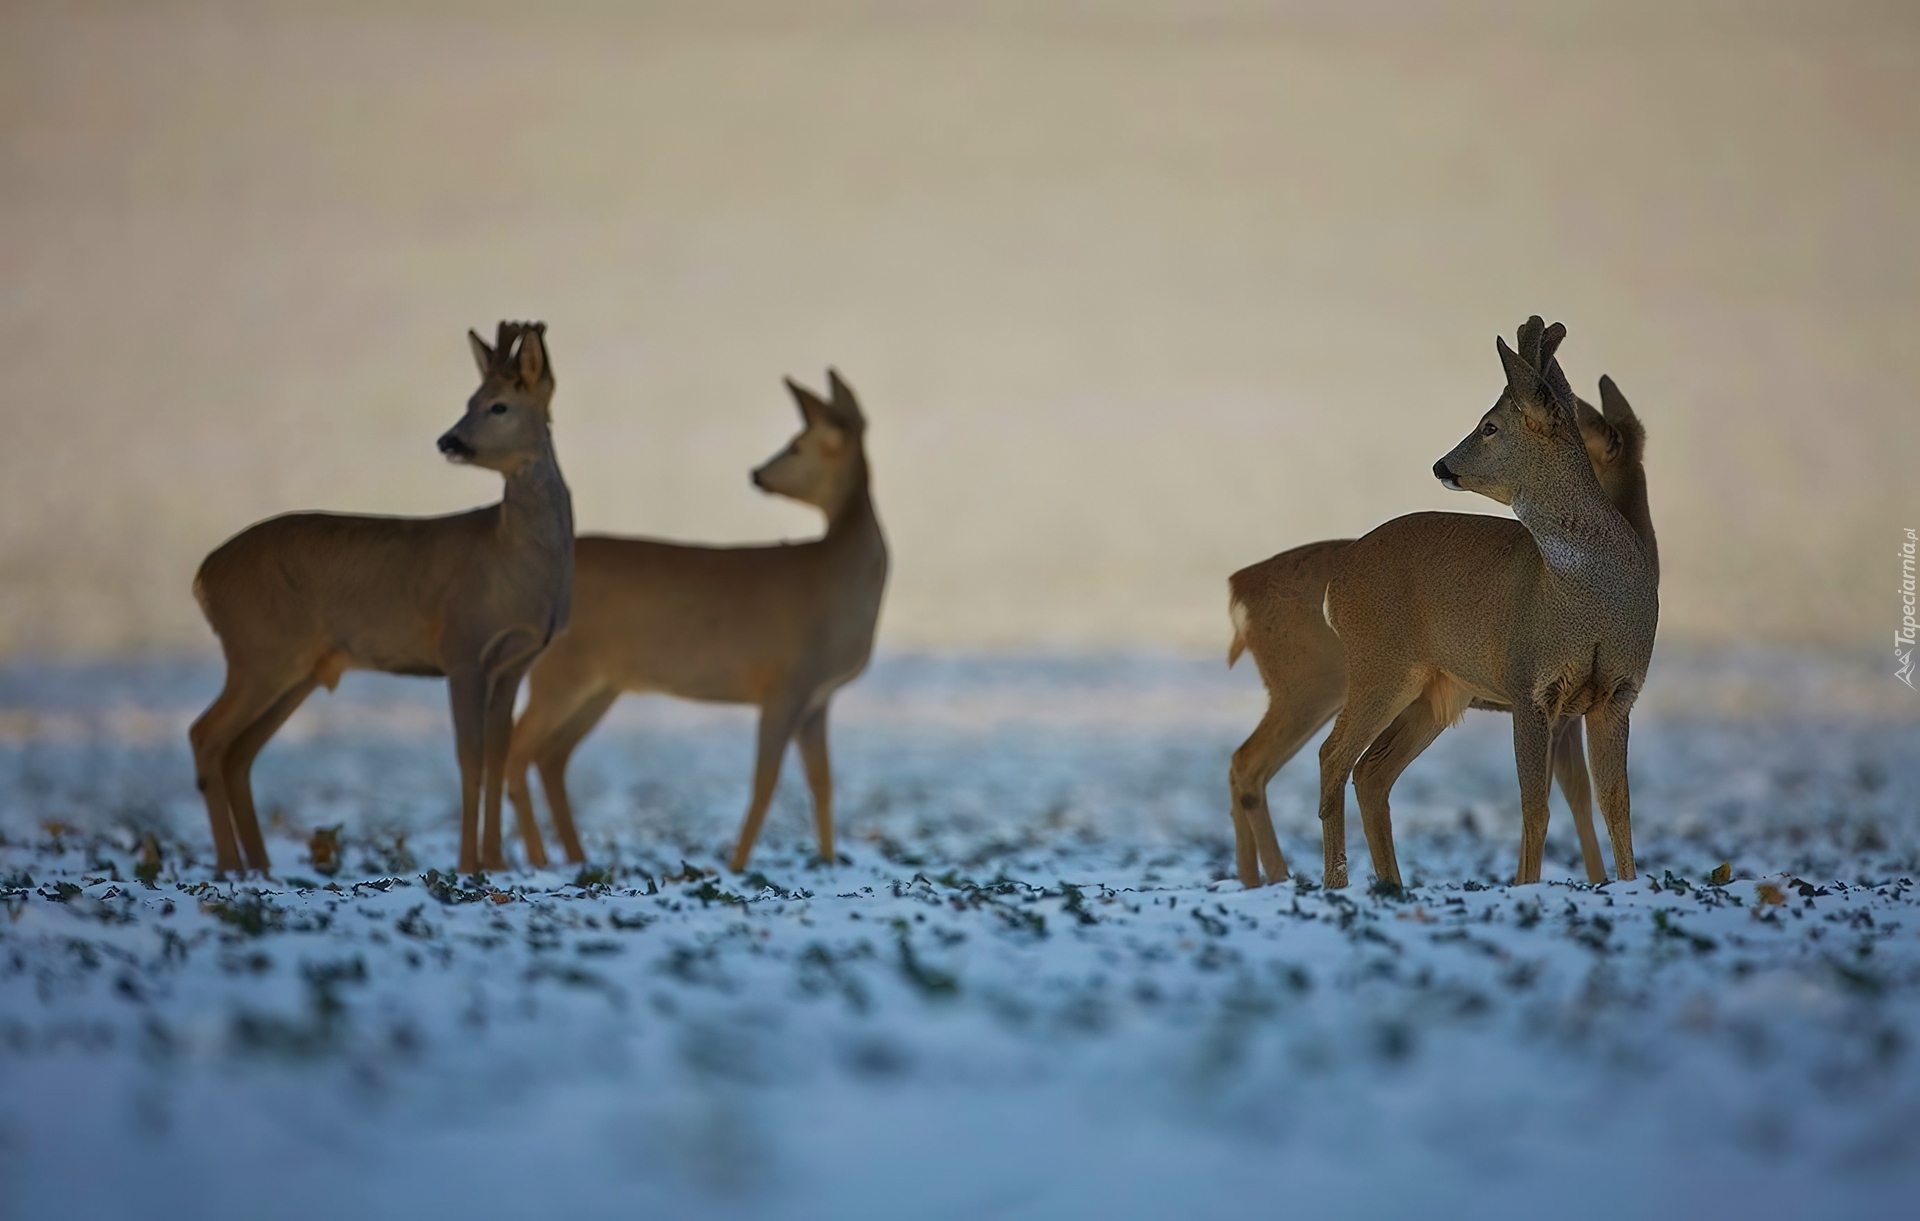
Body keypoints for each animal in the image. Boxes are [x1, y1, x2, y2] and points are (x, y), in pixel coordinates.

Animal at [190, 322, 572, 879]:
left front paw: (498, 863)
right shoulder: (462, 647)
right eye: (470, 399)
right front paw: (468, 865)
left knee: (239, 752)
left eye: (497, 405)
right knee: (206, 734)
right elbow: (470, 759)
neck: (515, 559)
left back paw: (259, 866)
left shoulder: (514, 661)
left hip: (294, 668)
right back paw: (228, 866)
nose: (448, 440)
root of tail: (203, 575)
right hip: (259, 647)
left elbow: (498, 757)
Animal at [506, 366, 887, 871]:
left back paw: (575, 858)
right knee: (516, 749)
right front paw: (737, 865)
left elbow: (822, 783)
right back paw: (539, 860)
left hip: (601, 682)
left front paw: (827, 861)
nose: (756, 473)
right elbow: (764, 783)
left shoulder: (817, 696)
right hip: (560, 669)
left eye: (797, 445)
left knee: (551, 757)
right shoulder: (782, 681)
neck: (835, 586)